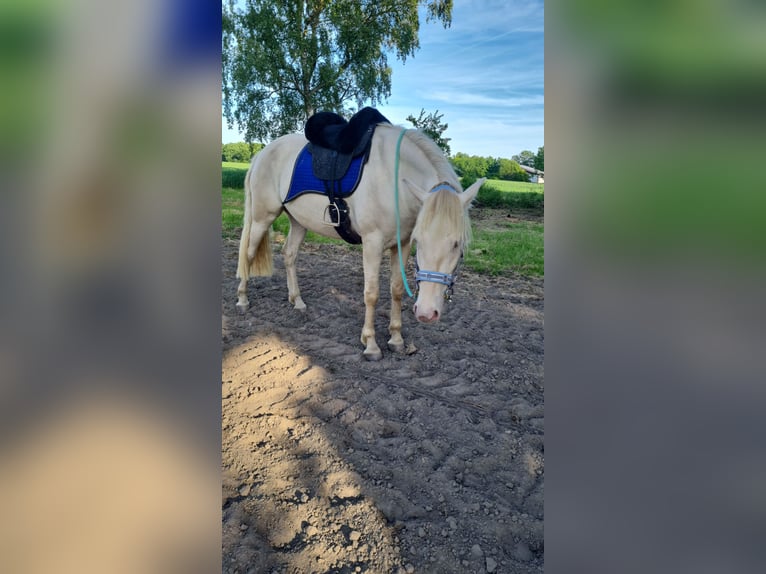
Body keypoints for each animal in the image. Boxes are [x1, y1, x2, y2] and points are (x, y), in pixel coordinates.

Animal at [236, 122, 486, 362]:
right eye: (421, 241)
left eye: (458, 245)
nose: (426, 312)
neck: (394, 180)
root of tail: (262, 153)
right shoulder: (372, 242)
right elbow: (372, 293)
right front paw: (371, 344)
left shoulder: (402, 243)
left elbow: (396, 289)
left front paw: (396, 338)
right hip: (262, 218)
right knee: (249, 254)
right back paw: (242, 299)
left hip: (298, 222)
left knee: (289, 255)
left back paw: (297, 301)